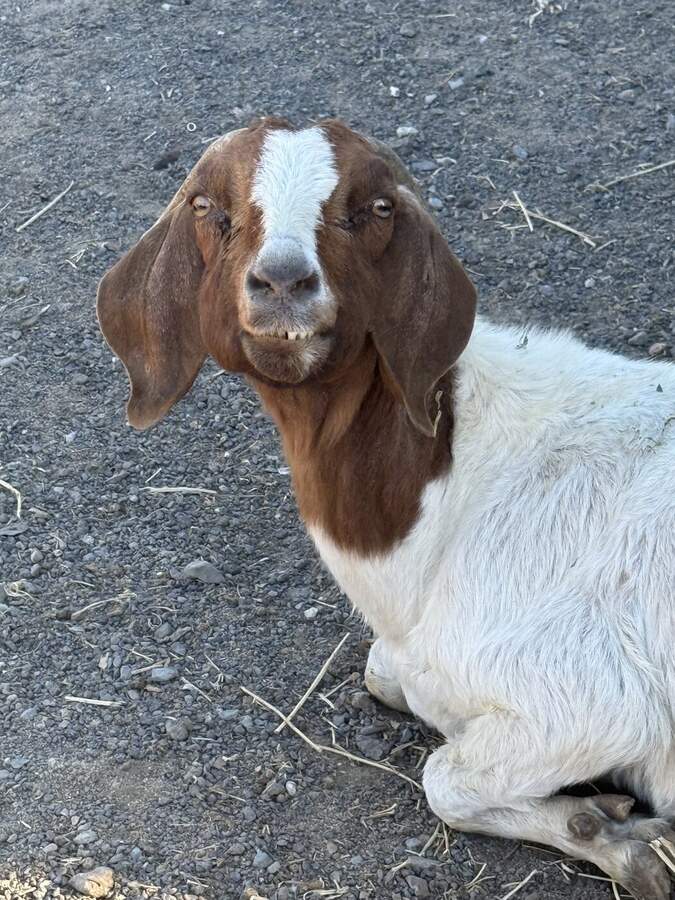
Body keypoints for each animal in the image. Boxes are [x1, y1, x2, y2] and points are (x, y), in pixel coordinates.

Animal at [97, 117, 675, 899]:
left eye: (375, 209)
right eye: (207, 207)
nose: (284, 282)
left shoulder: (591, 699)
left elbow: (445, 780)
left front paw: (622, 838)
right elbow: (384, 676)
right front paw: (603, 825)